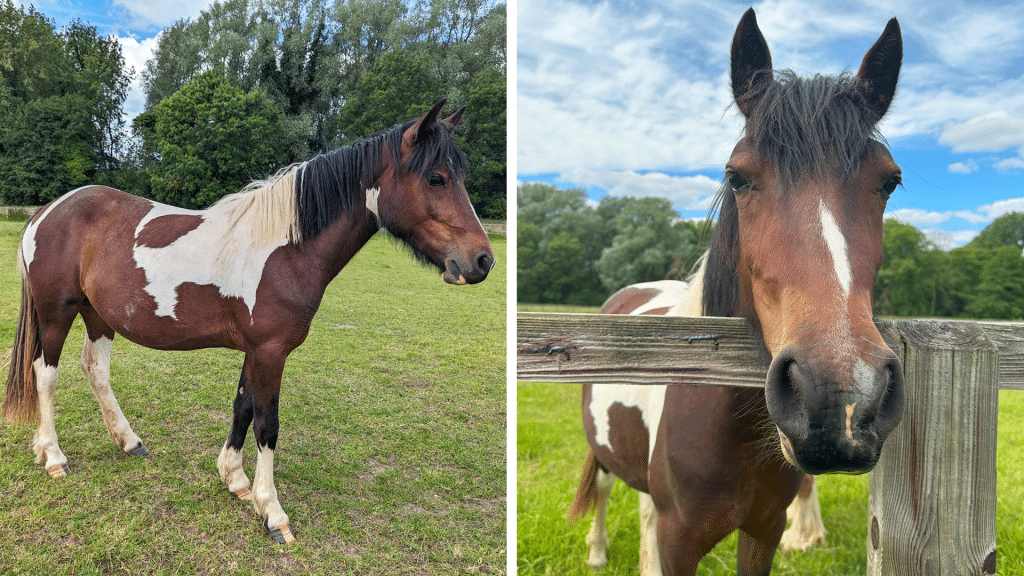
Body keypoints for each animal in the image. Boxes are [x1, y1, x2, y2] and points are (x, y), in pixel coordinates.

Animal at [0, 98, 495, 541]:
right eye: (436, 178)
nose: (483, 260)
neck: (285, 249)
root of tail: (46, 211)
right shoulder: (271, 352)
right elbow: (267, 424)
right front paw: (272, 512)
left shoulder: (256, 350)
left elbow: (242, 406)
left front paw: (235, 479)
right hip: (57, 313)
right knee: (45, 373)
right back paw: (54, 456)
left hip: (98, 315)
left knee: (95, 369)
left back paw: (125, 440)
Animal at [569, 10, 905, 573]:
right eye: (737, 176)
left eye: (890, 182)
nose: (842, 397)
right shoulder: (680, 541)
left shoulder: (761, 531)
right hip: (604, 452)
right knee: (604, 485)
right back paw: (596, 551)